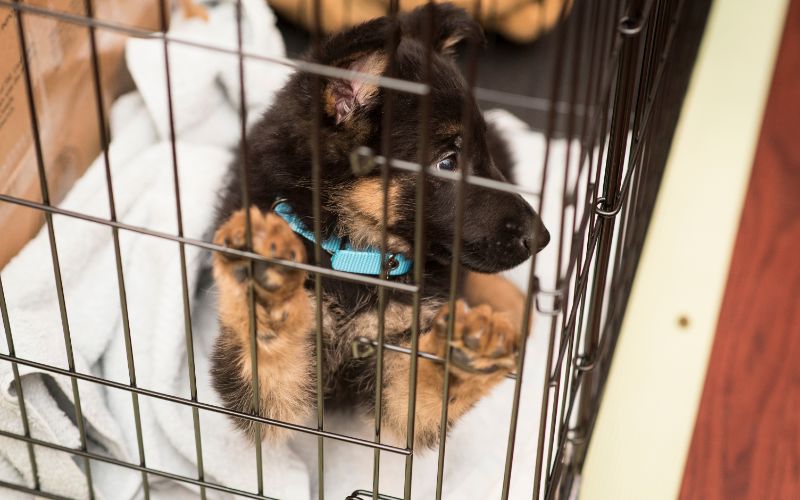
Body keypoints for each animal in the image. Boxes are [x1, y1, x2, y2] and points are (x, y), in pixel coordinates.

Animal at [211, 2, 552, 450]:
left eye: (481, 154)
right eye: (447, 163)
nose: (543, 238)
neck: (353, 253)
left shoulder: (400, 365)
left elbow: (426, 388)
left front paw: (473, 349)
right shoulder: (265, 401)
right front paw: (268, 283)